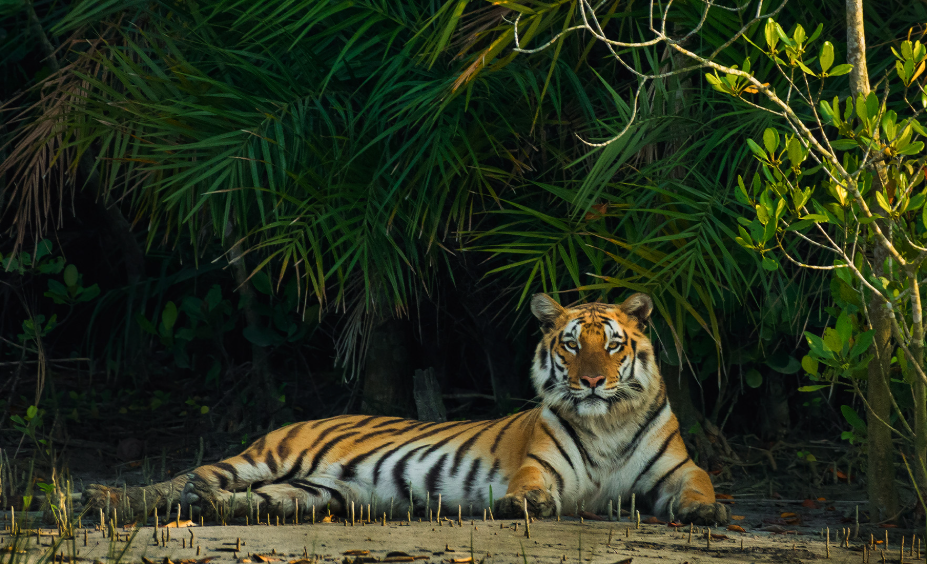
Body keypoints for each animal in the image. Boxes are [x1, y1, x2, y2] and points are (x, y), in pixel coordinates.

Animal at [84, 293, 728, 525]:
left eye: (612, 344)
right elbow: (529, 484)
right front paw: (525, 504)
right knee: (183, 477)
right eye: (571, 344)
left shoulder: (678, 470)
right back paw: (104, 499)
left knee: (242, 499)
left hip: (319, 491)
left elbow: (702, 487)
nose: (592, 380)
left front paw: (708, 513)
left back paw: (216, 509)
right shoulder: (540, 464)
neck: (607, 422)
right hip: (264, 458)